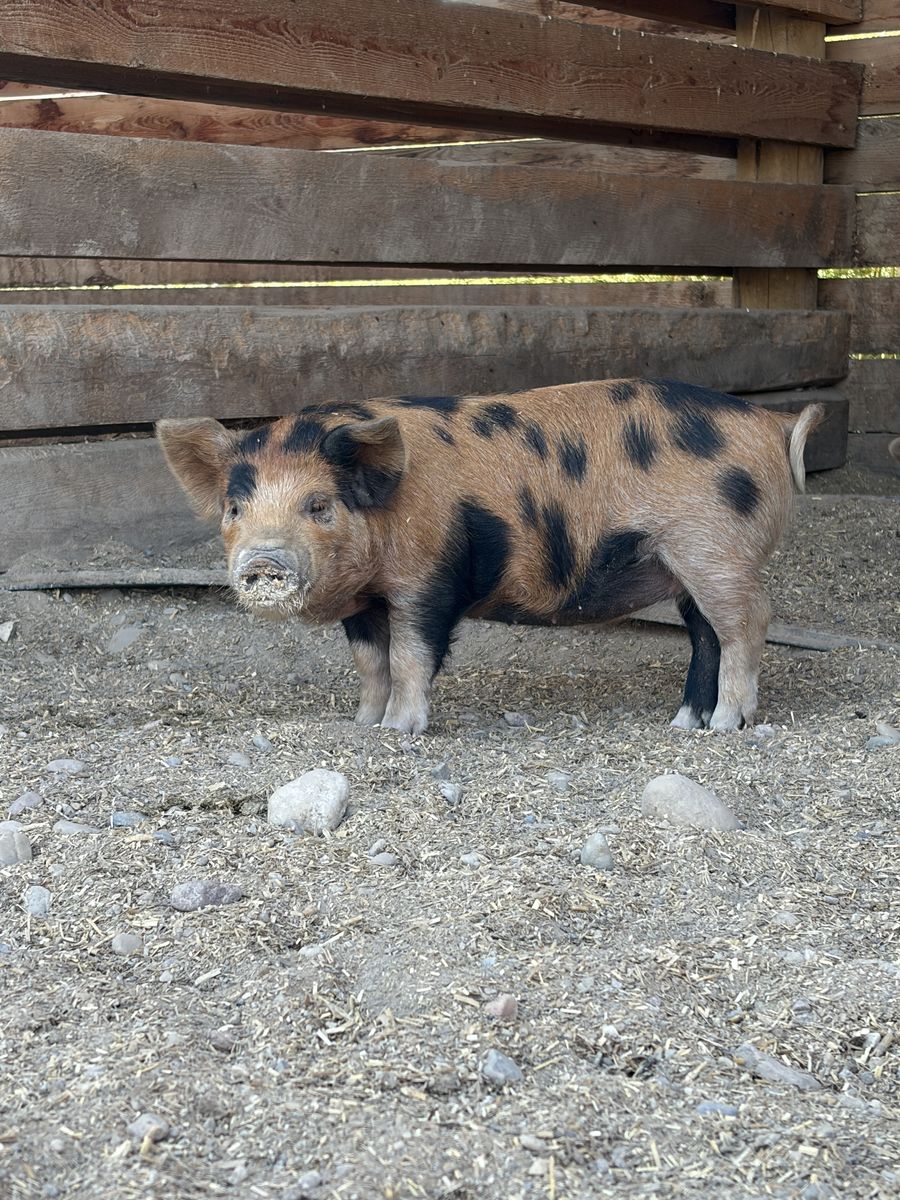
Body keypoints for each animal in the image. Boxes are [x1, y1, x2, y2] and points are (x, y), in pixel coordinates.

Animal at [156, 380, 821, 735]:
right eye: (234, 508)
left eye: (319, 505)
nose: (263, 562)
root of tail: (773, 421)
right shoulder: (366, 600)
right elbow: (370, 663)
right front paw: (362, 724)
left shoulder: (428, 579)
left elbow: (411, 655)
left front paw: (400, 730)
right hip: (681, 566)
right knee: (706, 634)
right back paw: (684, 724)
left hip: (715, 548)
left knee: (749, 620)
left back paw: (726, 727)